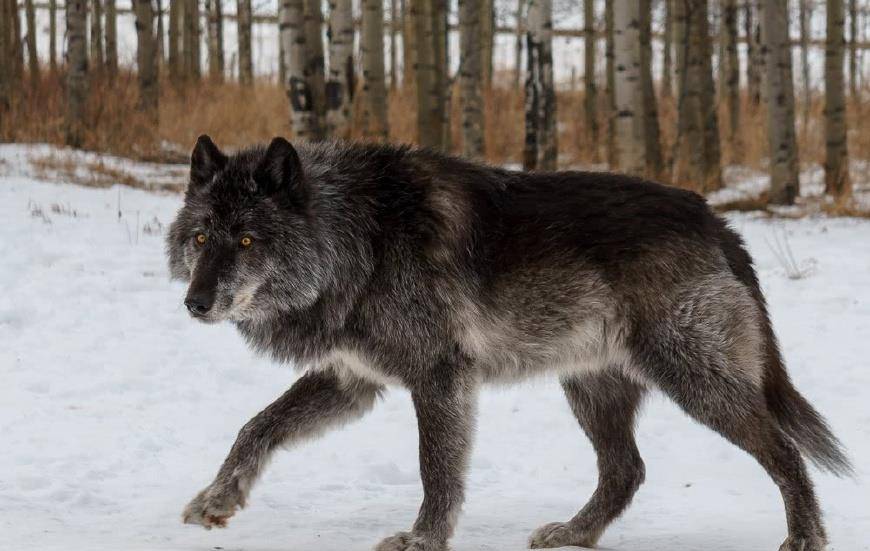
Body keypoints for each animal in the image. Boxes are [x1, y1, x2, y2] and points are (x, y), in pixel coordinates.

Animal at [169, 135, 852, 551]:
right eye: (202, 238)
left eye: (248, 241)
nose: (194, 304)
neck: (359, 237)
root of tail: (718, 221)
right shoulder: (351, 381)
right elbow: (256, 426)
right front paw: (218, 498)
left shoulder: (440, 378)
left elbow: (436, 469)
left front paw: (423, 539)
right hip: (591, 388)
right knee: (626, 470)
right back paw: (575, 533)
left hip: (694, 380)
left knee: (783, 450)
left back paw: (806, 535)